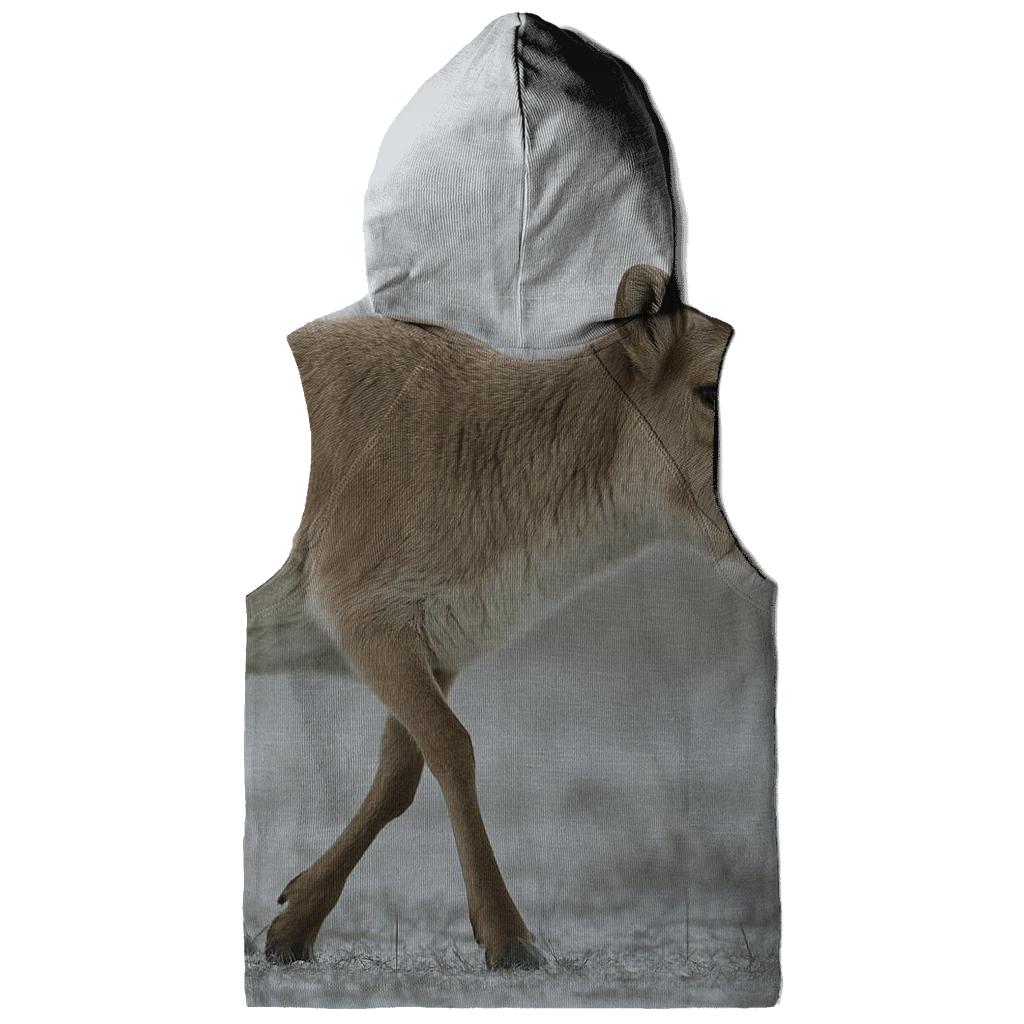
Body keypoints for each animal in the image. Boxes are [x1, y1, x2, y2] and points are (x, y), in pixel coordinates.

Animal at [265, 265, 735, 969]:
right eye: (710, 390)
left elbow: (402, 773)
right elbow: (454, 748)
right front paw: (511, 937)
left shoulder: (437, 642)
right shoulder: (361, 614)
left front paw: (293, 923)